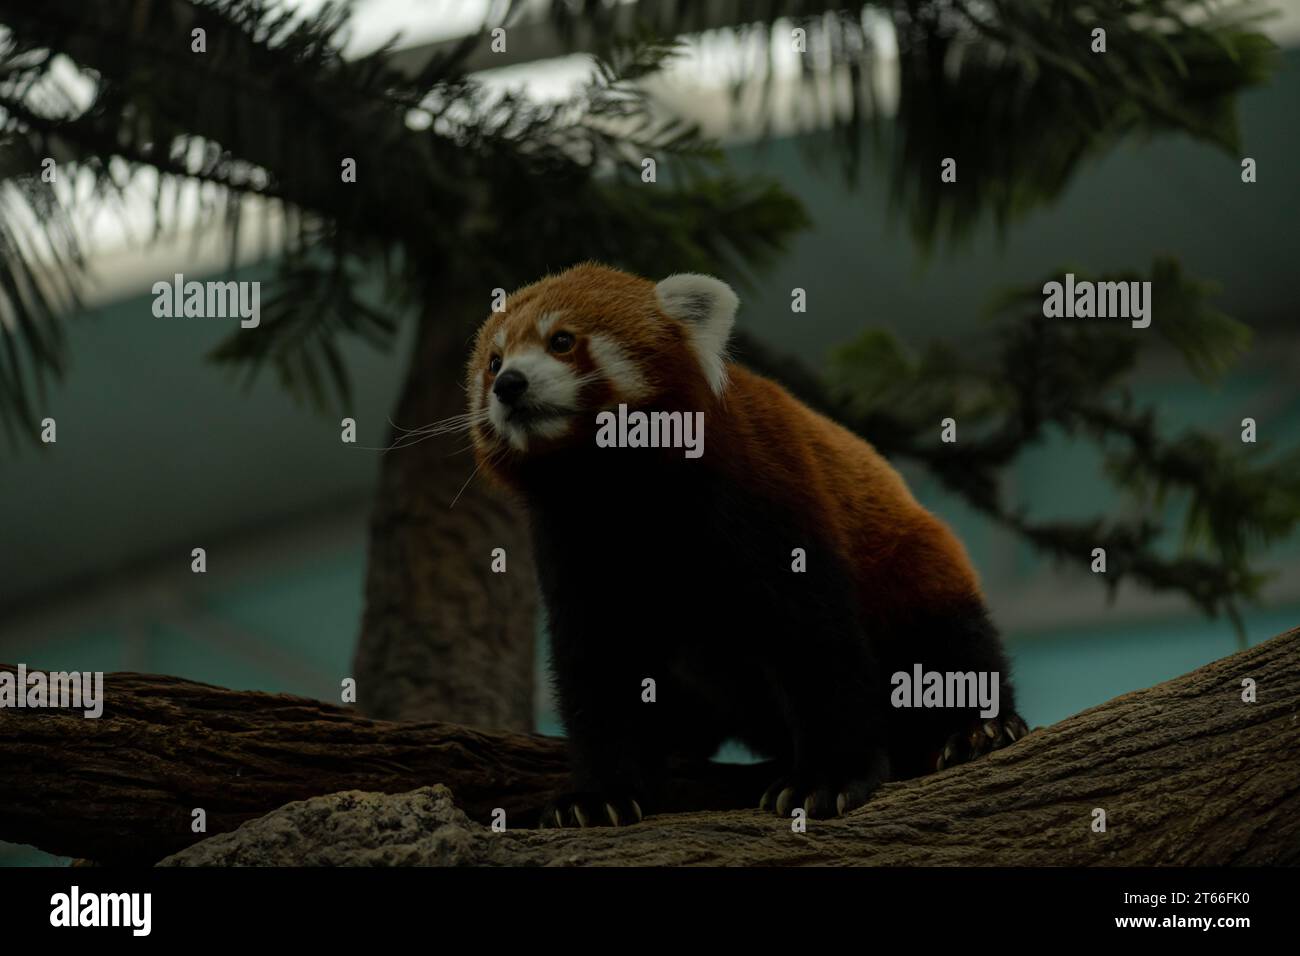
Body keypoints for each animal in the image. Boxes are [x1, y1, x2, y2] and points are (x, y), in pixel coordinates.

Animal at [466, 262, 1026, 827]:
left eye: (561, 340)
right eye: (493, 362)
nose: (509, 384)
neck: (617, 483)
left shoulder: (761, 493)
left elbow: (817, 641)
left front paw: (827, 778)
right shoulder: (572, 540)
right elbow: (598, 666)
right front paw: (600, 795)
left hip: (913, 562)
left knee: (950, 638)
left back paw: (977, 729)